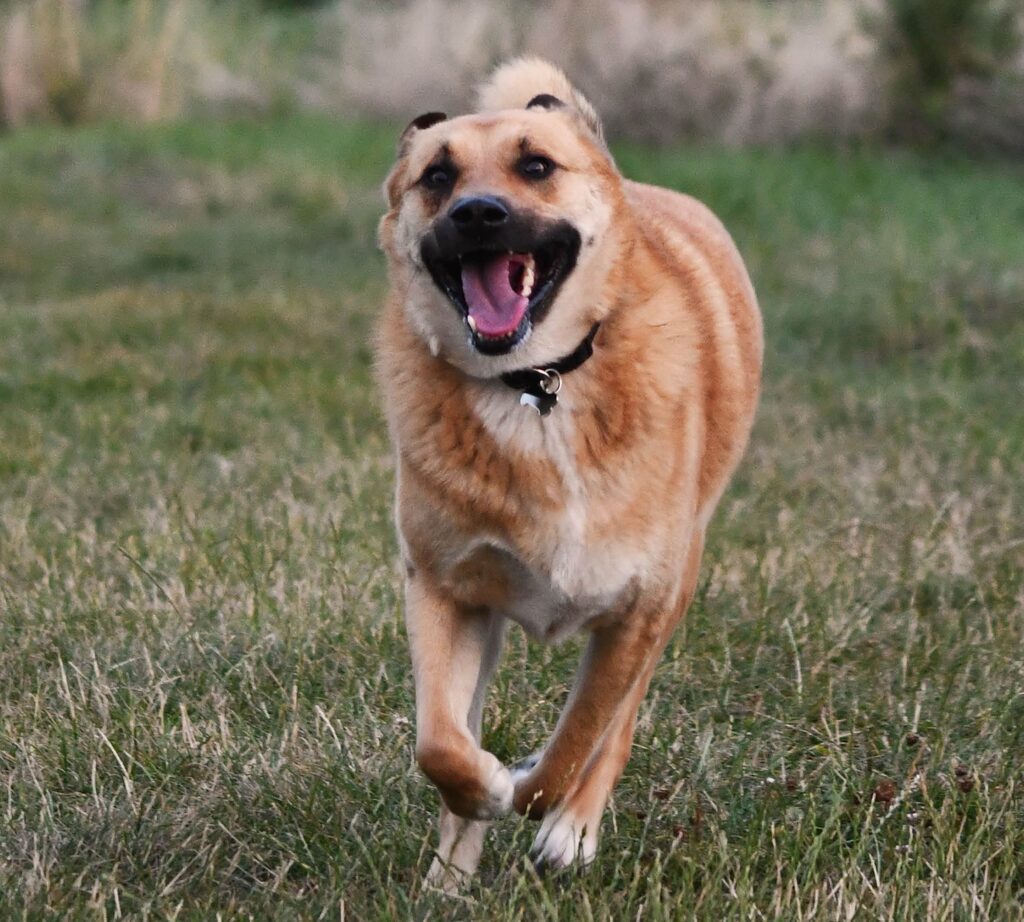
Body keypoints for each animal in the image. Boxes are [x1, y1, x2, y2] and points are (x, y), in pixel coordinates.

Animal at [376, 58, 762, 888]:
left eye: (537, 166)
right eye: (437, 177)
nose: (478, 215)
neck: (537, 388)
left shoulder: (637, 610)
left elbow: (578, 739)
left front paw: (542, 802)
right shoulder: (445, 589)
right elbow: (440, 744)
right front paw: (479, 797)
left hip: (678, 582)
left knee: (617, 725)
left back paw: (573, 829)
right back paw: (452, 869)